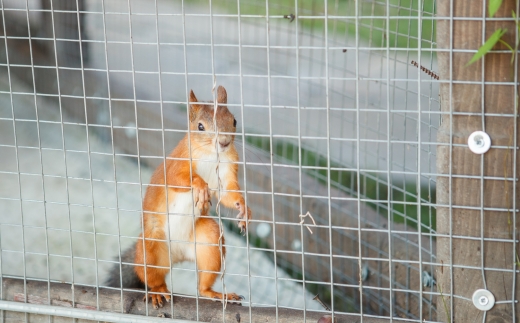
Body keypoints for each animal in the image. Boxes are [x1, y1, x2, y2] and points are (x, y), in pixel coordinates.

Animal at [106, 85, 251, 308]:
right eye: (200, 126)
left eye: (234, 120)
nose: (225, 142)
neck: (210, 154)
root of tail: (178, 254)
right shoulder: (176, 164)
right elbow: (179, 178)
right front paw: (200, 186)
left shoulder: (227, 169)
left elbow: (228, 193)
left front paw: (244, 208)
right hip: (151, 245)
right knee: (150, 275)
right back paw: (158, 291)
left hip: (209, 243)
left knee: (203, 284)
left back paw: (217, 294)